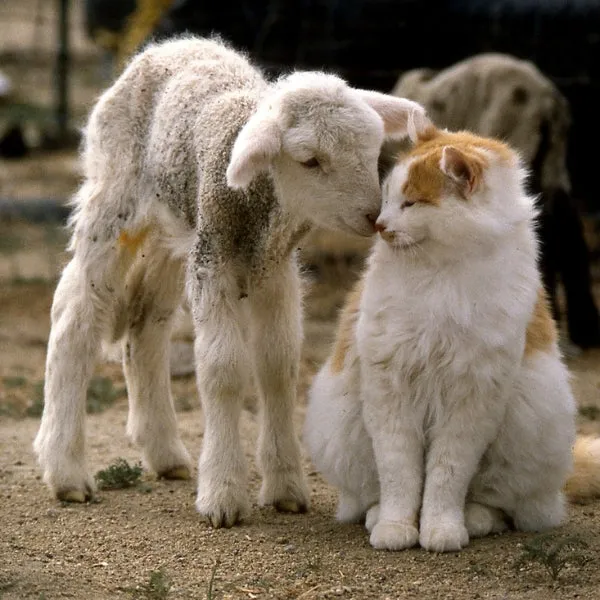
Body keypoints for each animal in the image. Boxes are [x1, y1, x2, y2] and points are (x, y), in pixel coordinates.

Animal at [32, 35, 426, 528]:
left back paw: (164, 452)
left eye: (373, 152)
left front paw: (285, 486)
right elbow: (222, 369)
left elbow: (277, 365)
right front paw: (222, 495)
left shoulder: (274, 270)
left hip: (173, 231)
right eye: (309, 161)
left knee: (146, 325)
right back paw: (65, 470)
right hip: (114, 201)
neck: (261, 206)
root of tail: (173, 43)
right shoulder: (214, 262)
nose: (373, 217)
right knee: (75, 317)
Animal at [304, 124, 600, 552]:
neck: (439, 275)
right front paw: (395, 528)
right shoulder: (389, 392)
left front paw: (440, 530)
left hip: (530, 426)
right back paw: (377, 517)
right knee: (364, 498)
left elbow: (446, 478)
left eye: (411, 203)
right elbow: (400, 476)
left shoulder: (470, 401)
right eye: (387, 198)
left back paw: (475, 520)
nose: (380, 224)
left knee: (503, 505)